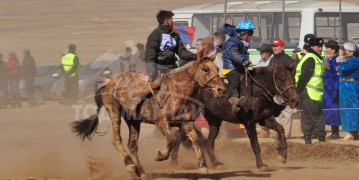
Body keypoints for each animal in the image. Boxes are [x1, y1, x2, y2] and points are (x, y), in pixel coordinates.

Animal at [70, 58, 226, 179]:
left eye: (217, 68)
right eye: (205, 69)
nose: (221, 90)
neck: (176, 91)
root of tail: (108, 81)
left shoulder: (185, 122)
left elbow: (195, 140)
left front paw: (203, 165)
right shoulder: (161, 121)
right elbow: (171, 139)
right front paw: (160, 155)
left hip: (133, 121)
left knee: (132, 146)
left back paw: (141, 173)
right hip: (114, 110)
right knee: (116, 140)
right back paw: (129, 165)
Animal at [170, 64, 300, 171]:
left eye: (293, 78)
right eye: (281, 78)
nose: (295, 100)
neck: (256, 92)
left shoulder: (265, 119)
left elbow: (281, 129)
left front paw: (282, 155)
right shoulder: (249, 123)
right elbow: (255, 145)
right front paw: (261, 165)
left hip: (214, 121)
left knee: (207, 142)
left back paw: (215, 163)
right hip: (192, 115)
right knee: (182, 134)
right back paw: (174, 161)